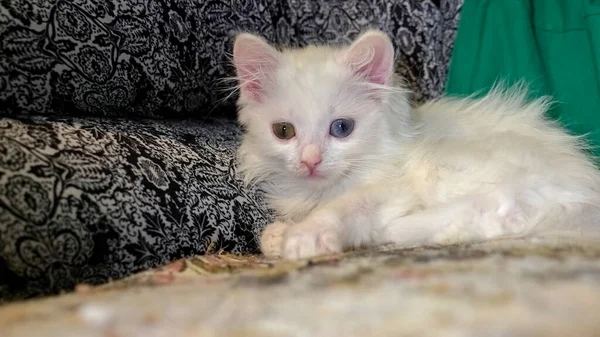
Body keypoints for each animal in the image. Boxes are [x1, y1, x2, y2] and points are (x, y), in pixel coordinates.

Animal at [232, 29, 600, 260]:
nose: (310, 161)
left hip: (452, 170)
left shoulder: (388, 190)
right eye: (283, 131)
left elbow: (339, 209)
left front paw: (305, 236)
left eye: (342, 128)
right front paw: (279, 235)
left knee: (497, 216)